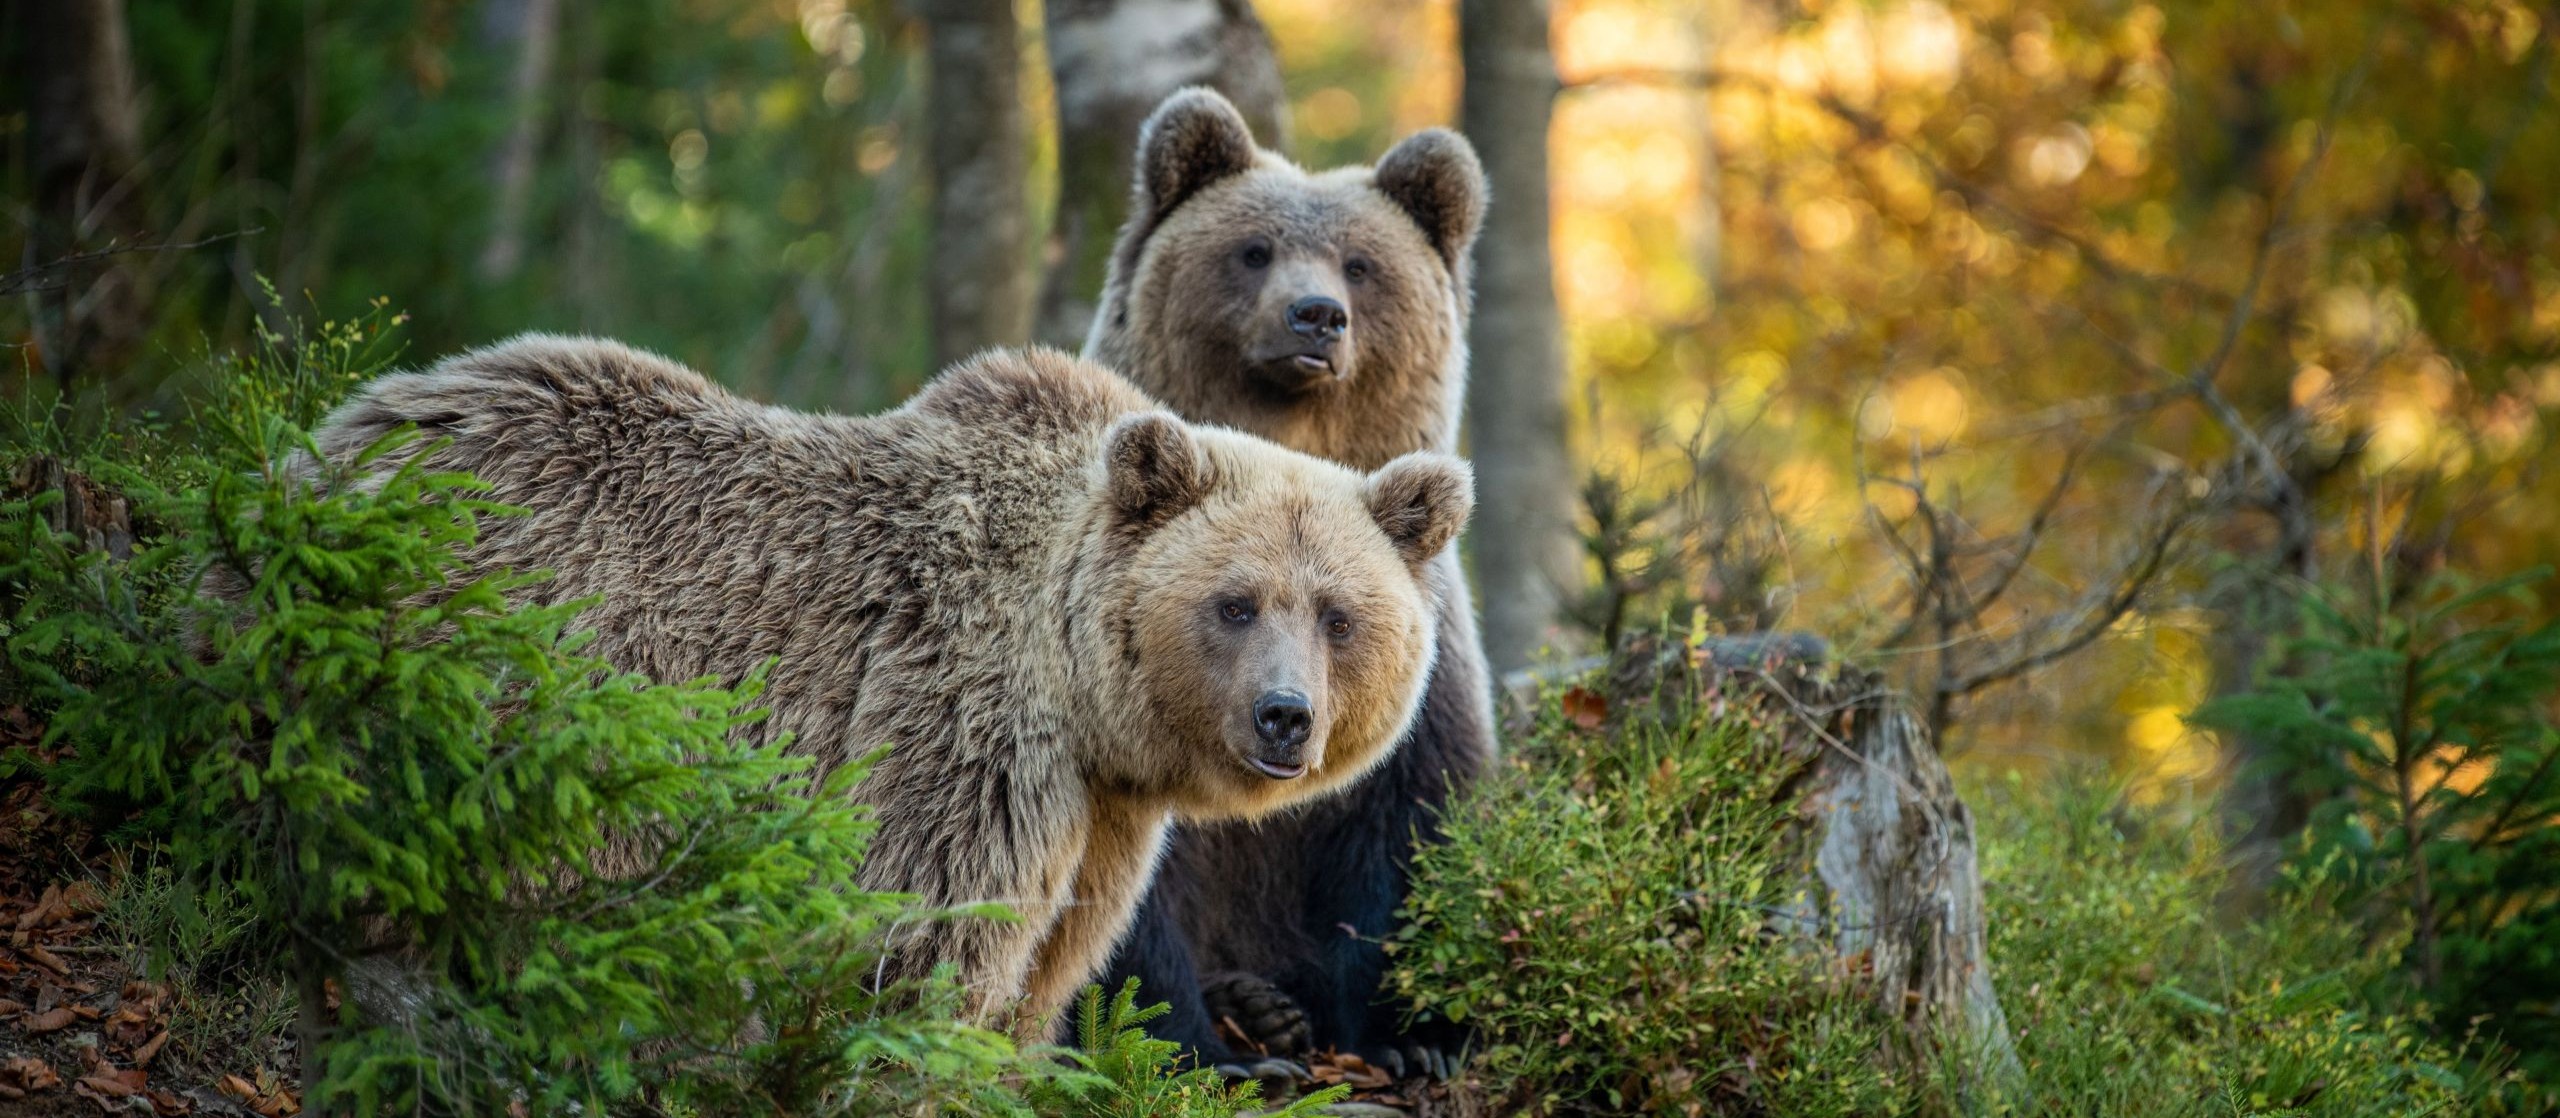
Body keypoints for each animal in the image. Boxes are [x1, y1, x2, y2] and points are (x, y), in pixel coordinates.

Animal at [306, 334, 1474, 1041]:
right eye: (1235, 602)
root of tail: (337, 442)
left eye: (1337, 614)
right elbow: (924, 936)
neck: (1084, 693)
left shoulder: (1100, 818)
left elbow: (1050, 963)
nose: (1285, 716)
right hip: (498, 668)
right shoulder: (962, 726)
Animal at [1077, 87, 1496, 1077]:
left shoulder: (1424, 661)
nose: (1315, 315)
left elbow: (1411, 827)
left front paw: (1417, 1038)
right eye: (1254, 249)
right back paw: (1254, 1013)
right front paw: (1196, 1048)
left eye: (1361, 263)